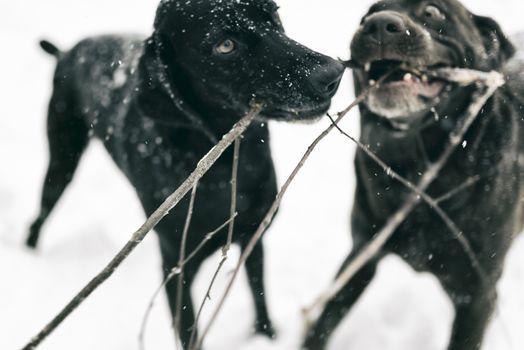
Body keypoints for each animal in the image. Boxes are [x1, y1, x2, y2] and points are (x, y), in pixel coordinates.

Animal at [26, 0, 344, 348]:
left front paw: (267, 336)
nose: (333, 73)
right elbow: (190, 332)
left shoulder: (253, 234)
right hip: (61, 161)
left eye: (273, 12)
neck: (223, 166)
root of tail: (67, 50)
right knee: (39, 217)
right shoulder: (175, 269)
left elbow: (260, 299)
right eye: (225, 45)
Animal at [304, 0, 520, 350]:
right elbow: (322, 324)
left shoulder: (477, 295)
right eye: (367, 15)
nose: (378, 25)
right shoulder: (361, 254)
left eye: (432, 12)